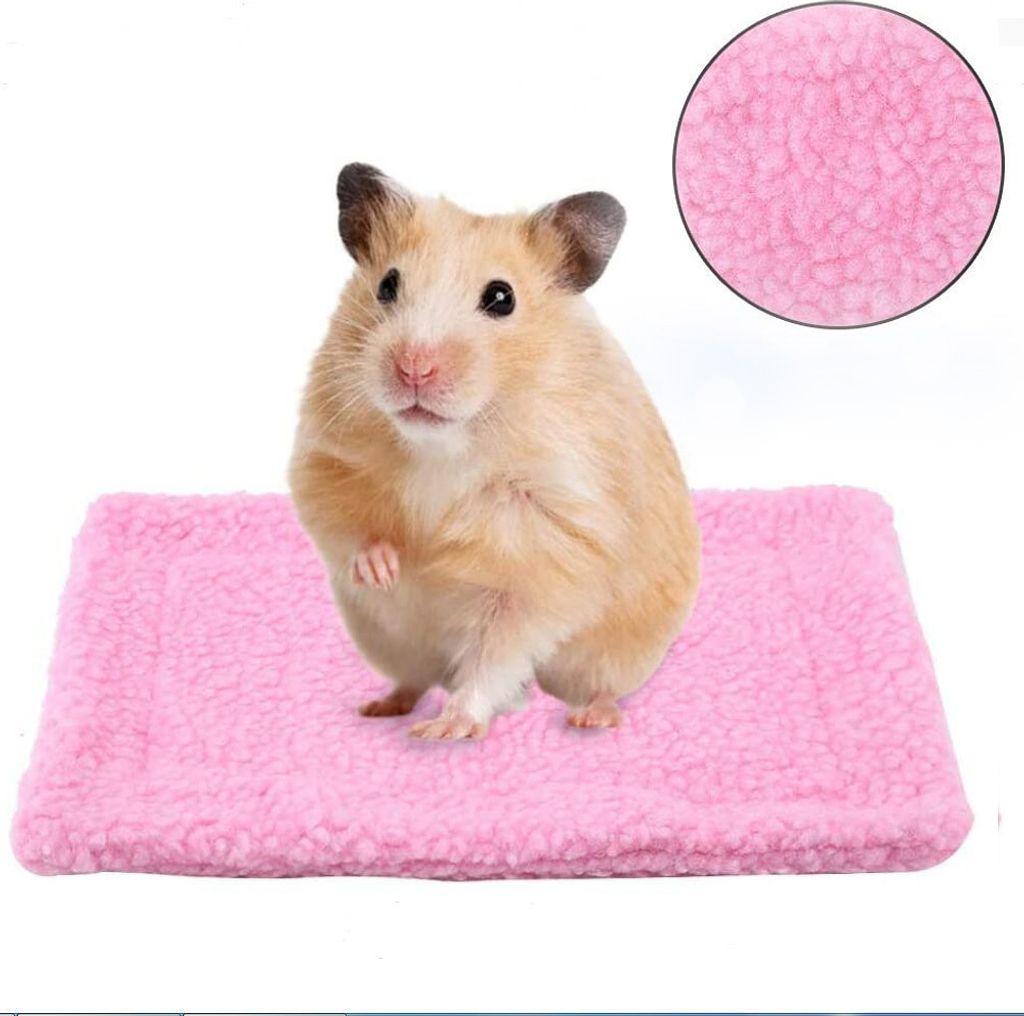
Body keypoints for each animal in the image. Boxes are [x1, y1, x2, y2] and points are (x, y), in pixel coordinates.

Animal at [289, 163, 700, 740]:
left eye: (502, 298)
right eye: (388, 284)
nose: (414, 368)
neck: (445, 443)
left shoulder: (546, 548)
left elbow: (495, 650)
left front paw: (448, 729)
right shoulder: (324, 457)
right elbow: (344, 523)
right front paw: (385, 569)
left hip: (620, 650)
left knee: (594, 684)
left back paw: (590, 719)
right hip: (388, 640)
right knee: (416, 679)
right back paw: (381, 706)